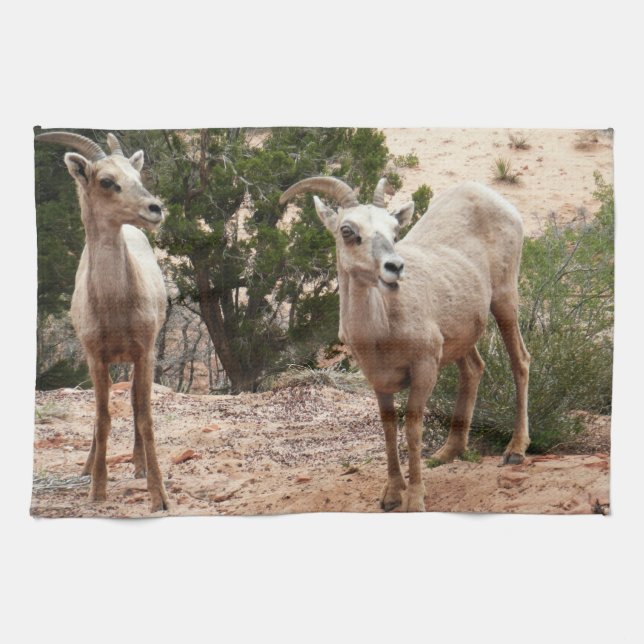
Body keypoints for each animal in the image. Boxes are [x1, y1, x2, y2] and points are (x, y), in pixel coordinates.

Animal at [35, 131, 169, 512]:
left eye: (137, 175)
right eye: (106, 181)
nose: (155, 208)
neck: (115, 307)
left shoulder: (144, 352)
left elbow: (144, 416)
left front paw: (159, 496)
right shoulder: (95, 356)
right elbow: (103, 417)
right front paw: (97, 488)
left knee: (136, 406)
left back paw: (138, 465)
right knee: (104, 411)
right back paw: (87, 467)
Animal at [280, 177, 530, 512]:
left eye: (394, 231)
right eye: (347, 230)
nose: (394, 267)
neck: (381, 331)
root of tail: (487, 194)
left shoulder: (424, 369)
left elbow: (412, 428)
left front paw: (414, 499)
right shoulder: (378, 380)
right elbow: (388, 428)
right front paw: (390, 495)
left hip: (505, 300)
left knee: (520, 361)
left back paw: (515, 450)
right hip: (462, 333)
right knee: (473, 369)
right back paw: (447, 453)